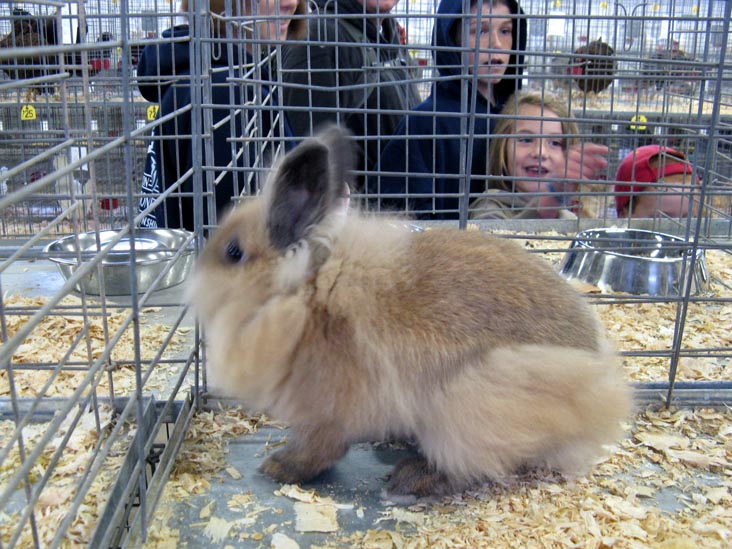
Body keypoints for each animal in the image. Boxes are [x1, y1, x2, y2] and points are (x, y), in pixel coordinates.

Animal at [187, 125, 632, 498]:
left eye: (233, 253)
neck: (303, 296)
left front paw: (279, 467)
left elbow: (319, 447)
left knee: (475, 463)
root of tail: (603, 386)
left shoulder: (325, 411)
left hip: (470, 407)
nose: (195, 287)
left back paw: (412, 476)